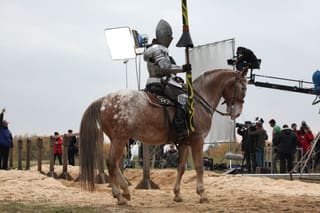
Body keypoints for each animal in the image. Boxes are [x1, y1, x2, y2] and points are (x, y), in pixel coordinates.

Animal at [79, 68, 248, 205]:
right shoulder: (197, 140)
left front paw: (177, 194)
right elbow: (200, 167)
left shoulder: (185, 143)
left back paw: (125, 191)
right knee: (111, 162)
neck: (197, 102)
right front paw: (202, 194)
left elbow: (181, 168)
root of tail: (103, 100)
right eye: (243, 87)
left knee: (114, 164)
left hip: (118, 139)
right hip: (120, 139)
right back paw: (119, 196)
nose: (236, 113)